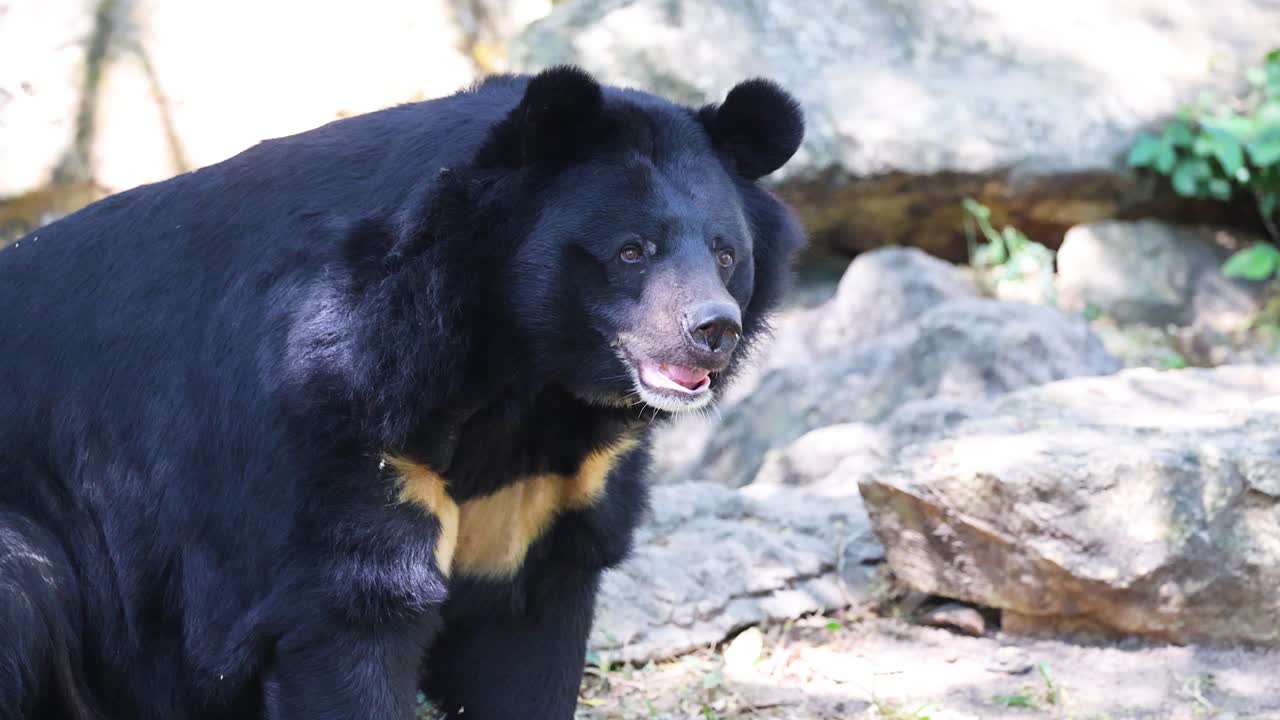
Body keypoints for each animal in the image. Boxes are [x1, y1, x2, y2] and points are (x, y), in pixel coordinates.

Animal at [0, 66, 805, 719]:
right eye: (632, 251)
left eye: (726, 254)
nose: (713, 331)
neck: (520, 370)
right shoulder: (327, 417)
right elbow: (353, 608)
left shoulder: (550, 493)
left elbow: (526, 639)